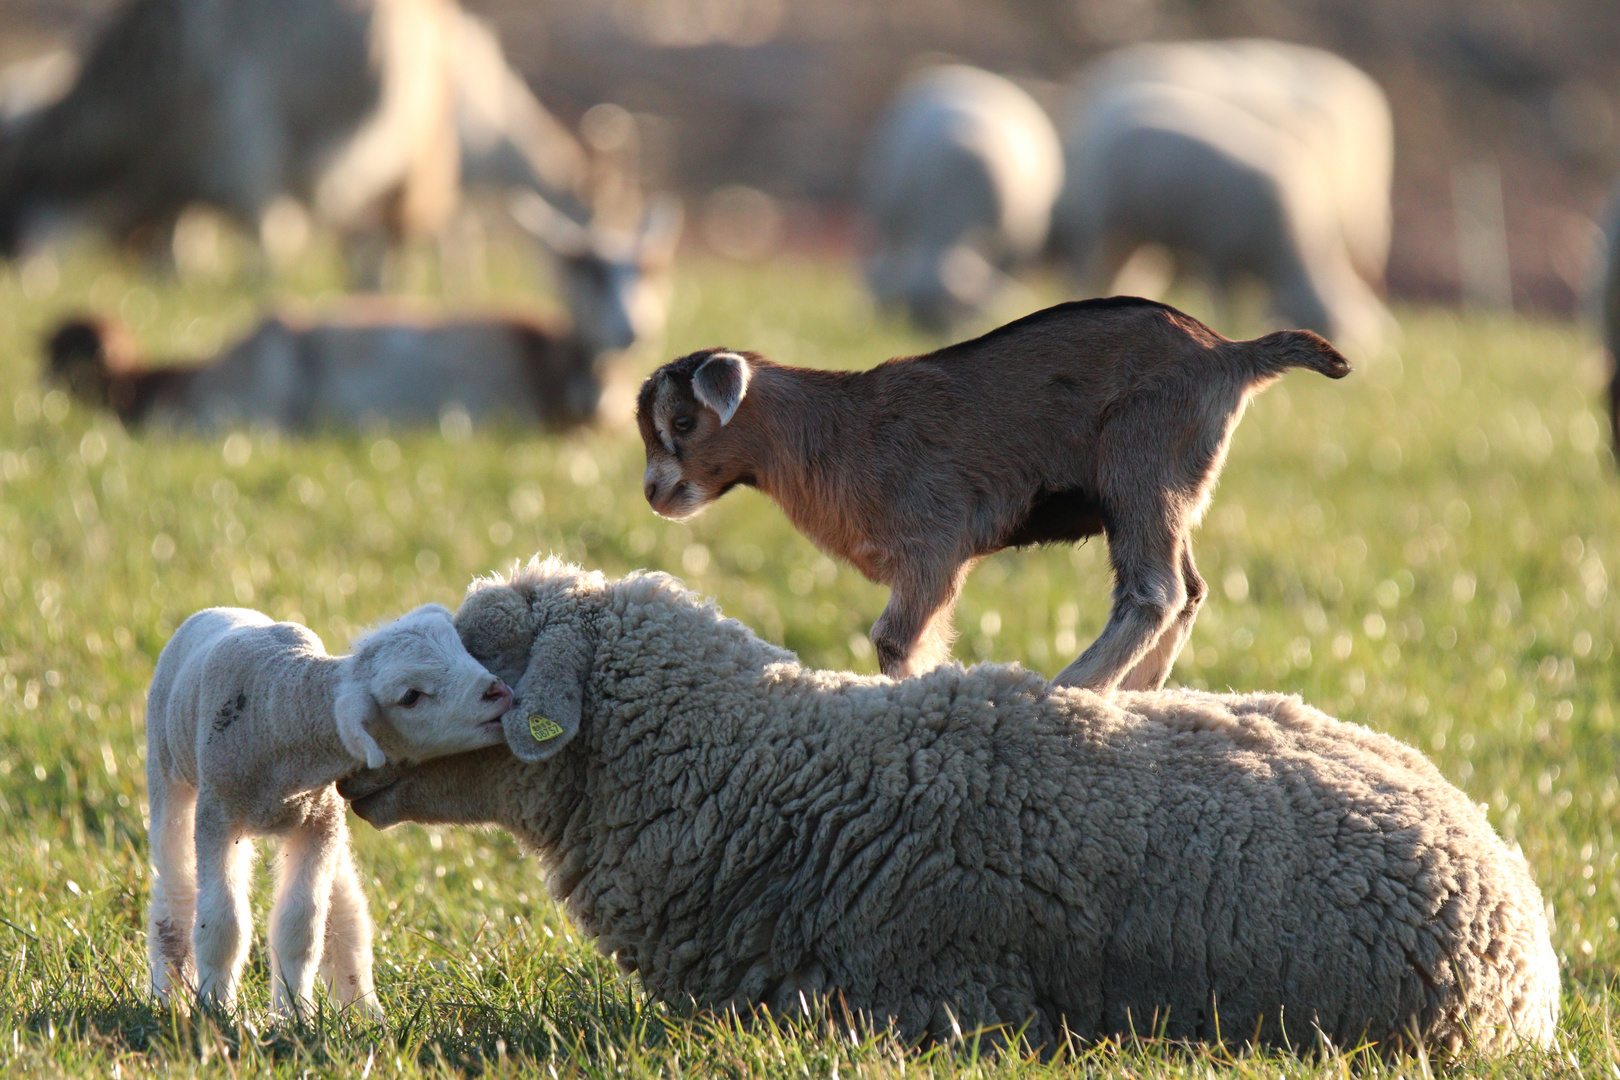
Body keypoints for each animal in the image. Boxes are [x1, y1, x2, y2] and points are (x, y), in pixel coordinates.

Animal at [147, 605, 511, 1016]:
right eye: (410, 697)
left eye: (463, 649)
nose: (498, 691)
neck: (282, 707)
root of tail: (220, 609)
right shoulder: (218, 817)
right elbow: (223, 925)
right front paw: (216, 1010)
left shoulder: (321, 819)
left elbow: (301, 927)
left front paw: (293, 1016)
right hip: (167, 770)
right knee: (175, 893)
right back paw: (168, 995)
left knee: (346, 917)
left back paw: (367, 1013)